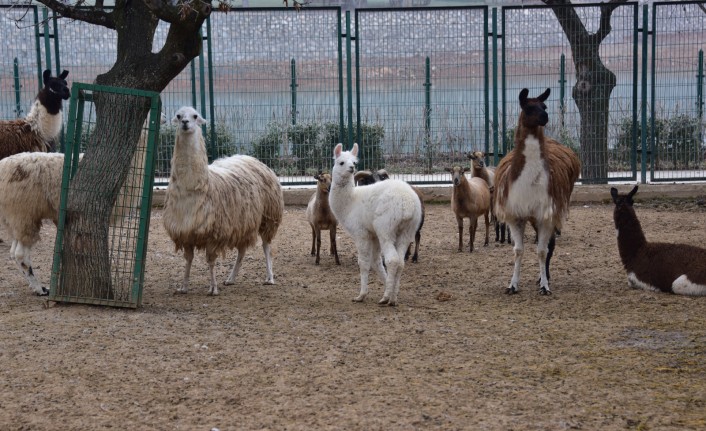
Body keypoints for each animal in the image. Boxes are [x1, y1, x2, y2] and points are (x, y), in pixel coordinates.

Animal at [163, 107, 284, 296]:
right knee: (242, 250)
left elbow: (211, 261)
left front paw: (213, 288)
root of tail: (249, 157)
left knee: (266, 246)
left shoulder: (214, 233)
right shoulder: (185, 232)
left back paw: (269, 277)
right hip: (244, 221)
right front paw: (184, 286)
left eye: (195, 116)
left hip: (268, 216)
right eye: (178, 115)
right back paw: (231, 278)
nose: (185, 123)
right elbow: (188, 260)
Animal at [328, 145, 420, 308]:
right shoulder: (373, 235)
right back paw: (393, 298)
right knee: (400, 262)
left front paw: (361, 295)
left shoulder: (361, 233)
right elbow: (376, 262)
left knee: (392, 260)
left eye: (354, 162)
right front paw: (388, 286)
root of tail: (407, 203)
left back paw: (385, 299)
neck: (350, 203)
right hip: (407, 231)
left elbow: (364, 263)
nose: (351, 168)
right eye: (341, 162)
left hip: (385, 227)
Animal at [490, 88, 576, 296]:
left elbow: (542, 251)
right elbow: (518, 250)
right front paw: (512, 285)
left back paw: (543, 278)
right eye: (528, 107)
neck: (529, 184)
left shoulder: (545, 215)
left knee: (550, 246)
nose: (545, 117)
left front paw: (545, 285)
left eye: (544, 106)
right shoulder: (515, 215)